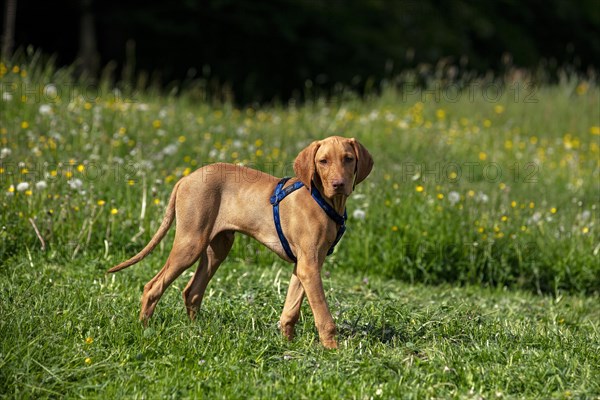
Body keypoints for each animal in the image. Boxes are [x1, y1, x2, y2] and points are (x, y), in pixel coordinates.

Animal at [106, 136, 370, 348]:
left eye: (348, 159)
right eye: (323, 161)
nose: (338, 184)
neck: (322, 200)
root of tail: (185, 179)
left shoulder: (304, 266)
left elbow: (290, 310)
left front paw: (288, 344)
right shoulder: (309, 266)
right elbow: (324, 316)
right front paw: (333, 350)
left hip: (216, 249)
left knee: (192, 291)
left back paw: (196, 331)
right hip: (190, 244)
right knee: (153, 287)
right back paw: (144, 329)